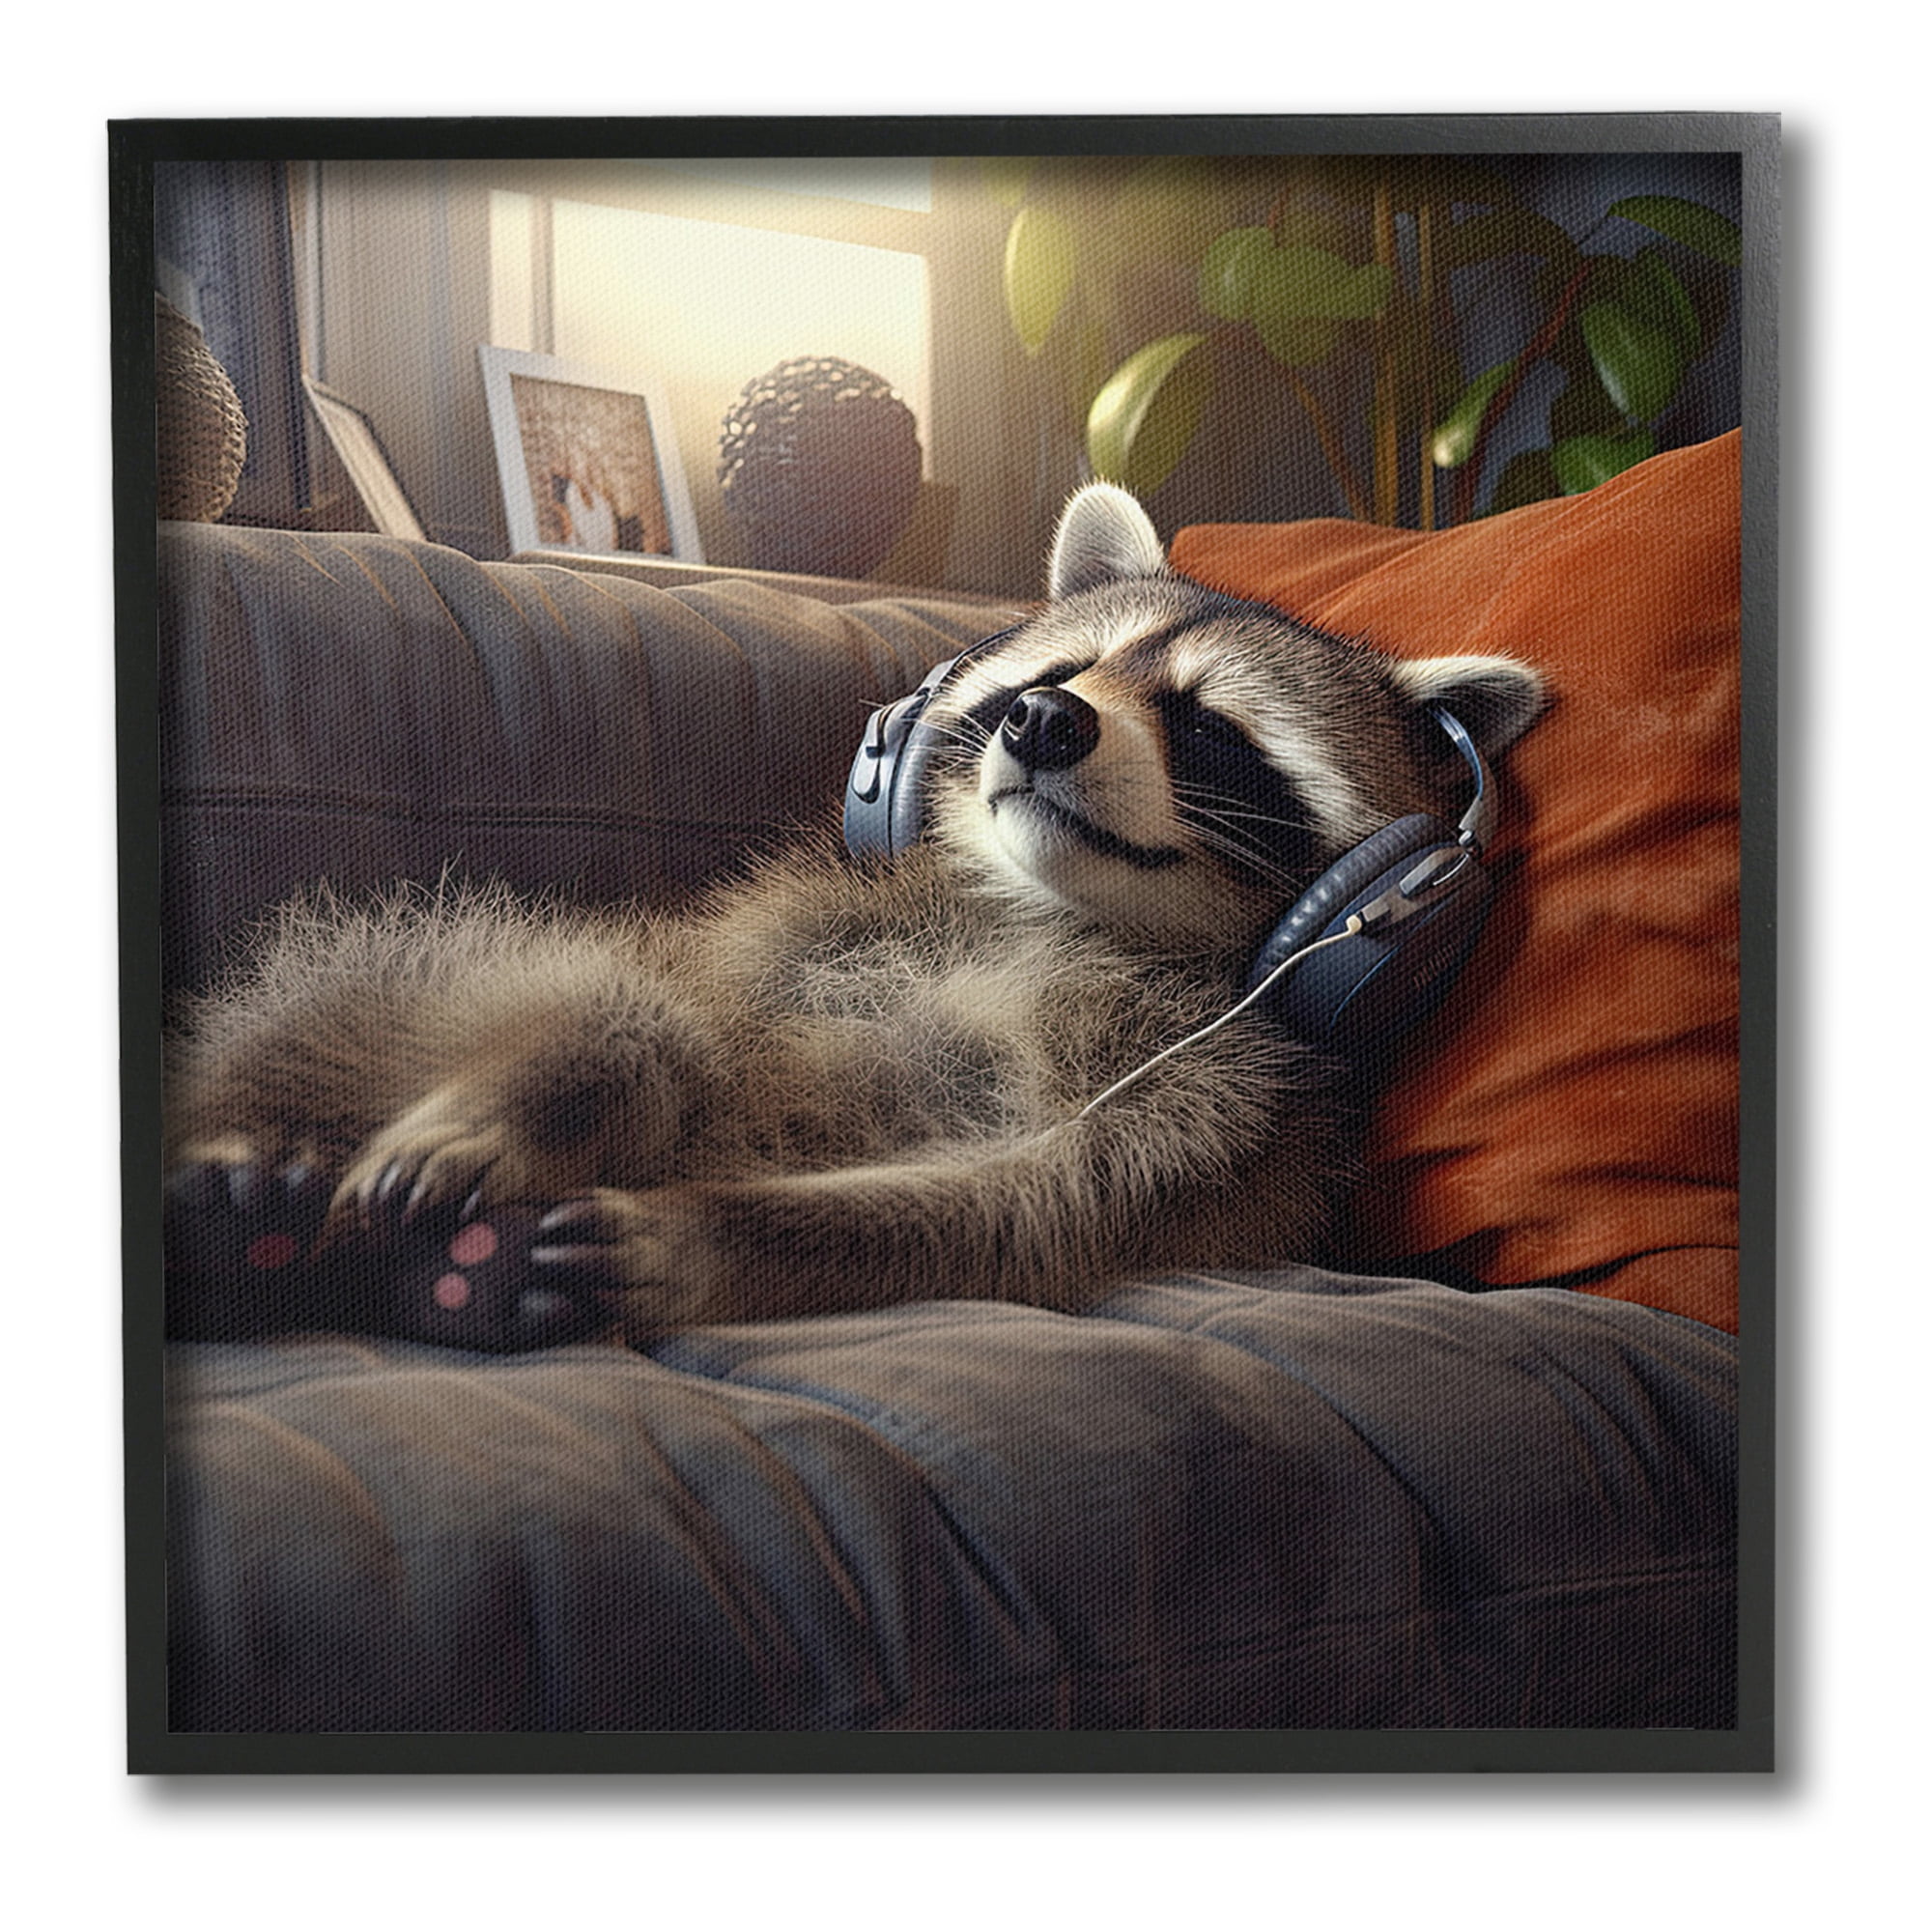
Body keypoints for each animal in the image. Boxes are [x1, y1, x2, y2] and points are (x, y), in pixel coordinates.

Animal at [162, 484, 1545, 1346]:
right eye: (1058, 675)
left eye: (1206, 727)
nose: (1044, 720)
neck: (1054, 912)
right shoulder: (789, 919)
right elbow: (646, 994)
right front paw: (539, 1098)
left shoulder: (1226, 1109)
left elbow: (1030, 1202)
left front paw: (717, 1233)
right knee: (449, 980)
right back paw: (254, 1162)